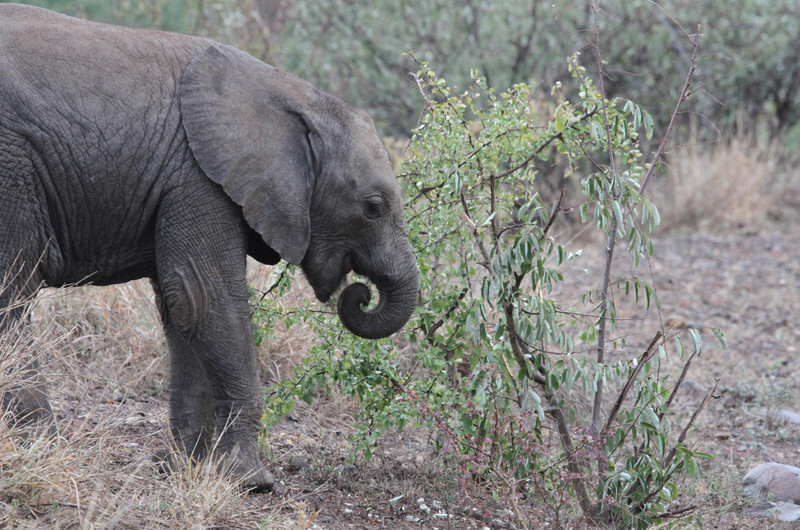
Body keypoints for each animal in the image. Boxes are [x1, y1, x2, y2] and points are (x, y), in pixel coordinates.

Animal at [0, 5, 422, 490]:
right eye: (373, 208)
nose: (360, 294)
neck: (296, 97)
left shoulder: (184, 181)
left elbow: (181, 306)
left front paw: (184, 467)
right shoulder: (200, 180)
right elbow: (205, 298)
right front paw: (250, 480)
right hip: (11, 165)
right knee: (13, 290)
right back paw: (39, 442)